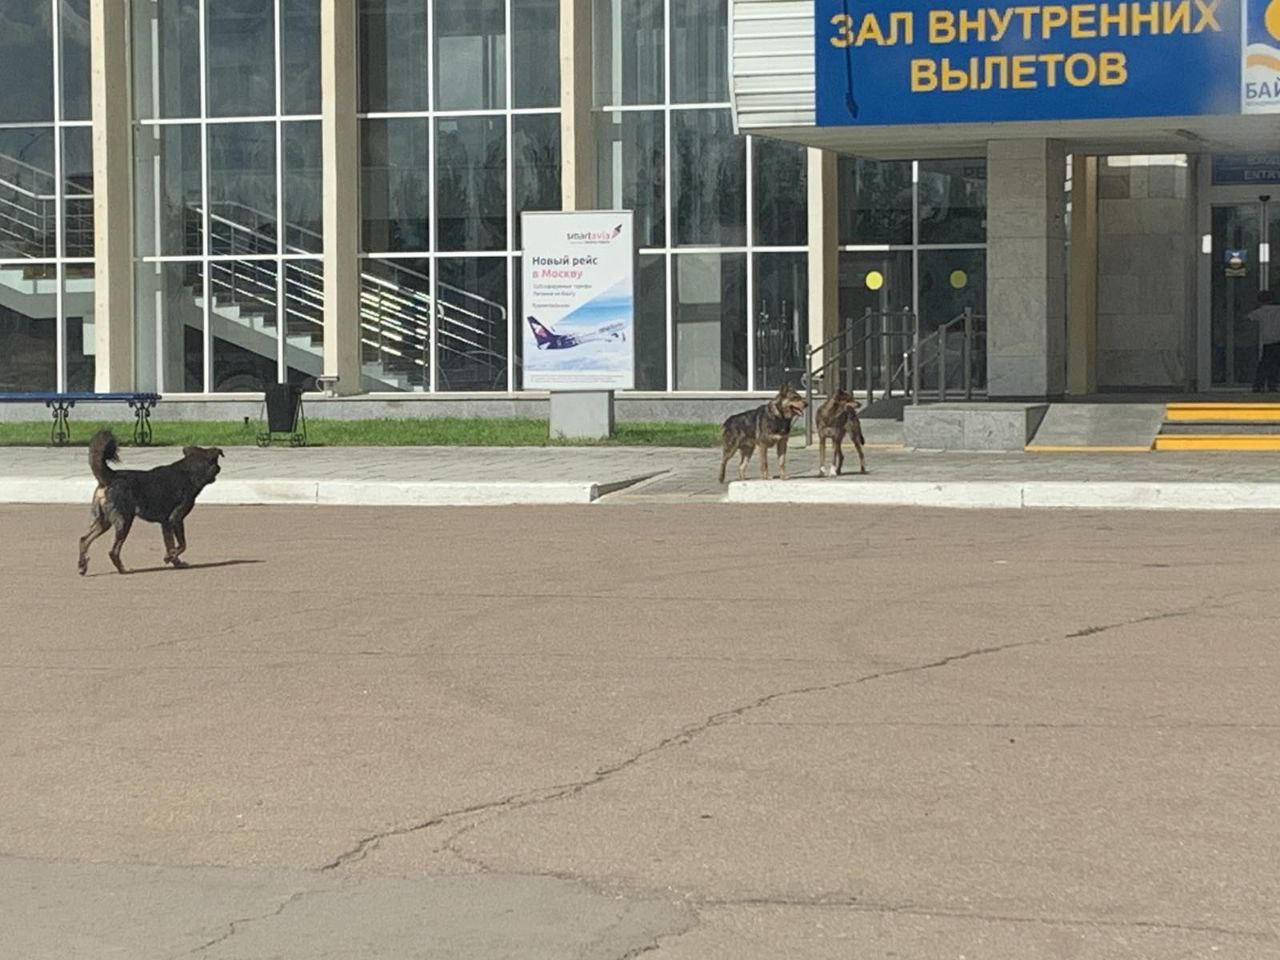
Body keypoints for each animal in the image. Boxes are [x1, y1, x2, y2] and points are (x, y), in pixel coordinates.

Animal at [77, 430, 224, 578]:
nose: (219, 469)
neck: (189, 471)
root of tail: (110, 477)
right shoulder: (176, 518)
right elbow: (182, 544)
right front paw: (169, 557)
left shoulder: (166, 524)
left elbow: (170, 544)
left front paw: (175, 561)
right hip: (124, 521)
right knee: (113, 551)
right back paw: (123, 570)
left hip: (104, 521)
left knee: (84, 539)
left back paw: (82, 566)